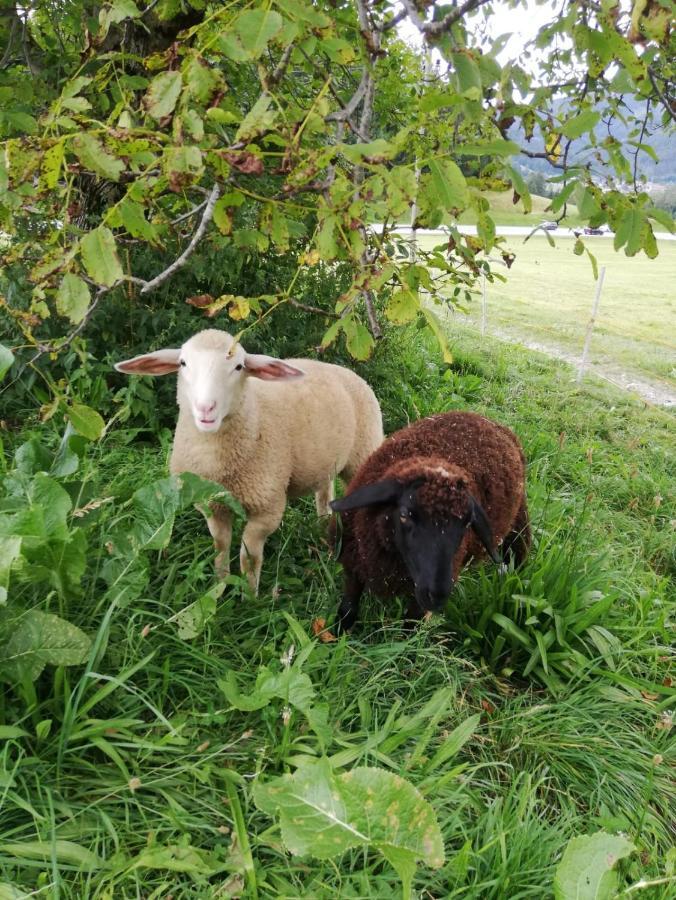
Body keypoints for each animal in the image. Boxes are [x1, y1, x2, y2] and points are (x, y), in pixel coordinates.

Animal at [113, 328, 382, 592]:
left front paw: (250, 595)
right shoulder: (211, 504)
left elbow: (249, 555)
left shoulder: (267, 507)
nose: (206, 408)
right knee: (325, 494)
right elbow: (220, 545)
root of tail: (345, 370)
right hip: (326, 462)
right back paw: (323, 531)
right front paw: (220, 586)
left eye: (239, 366)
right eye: (183, 363)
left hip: (364, 451)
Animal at [330, 412, 532, 628]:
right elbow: (347, 609)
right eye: (404, 514)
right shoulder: (355, 566)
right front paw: (338, 631)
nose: (437, 596)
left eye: (467, 524)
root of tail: (492, 422)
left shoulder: (418, 598)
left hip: (517, 528)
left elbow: (409, 628)